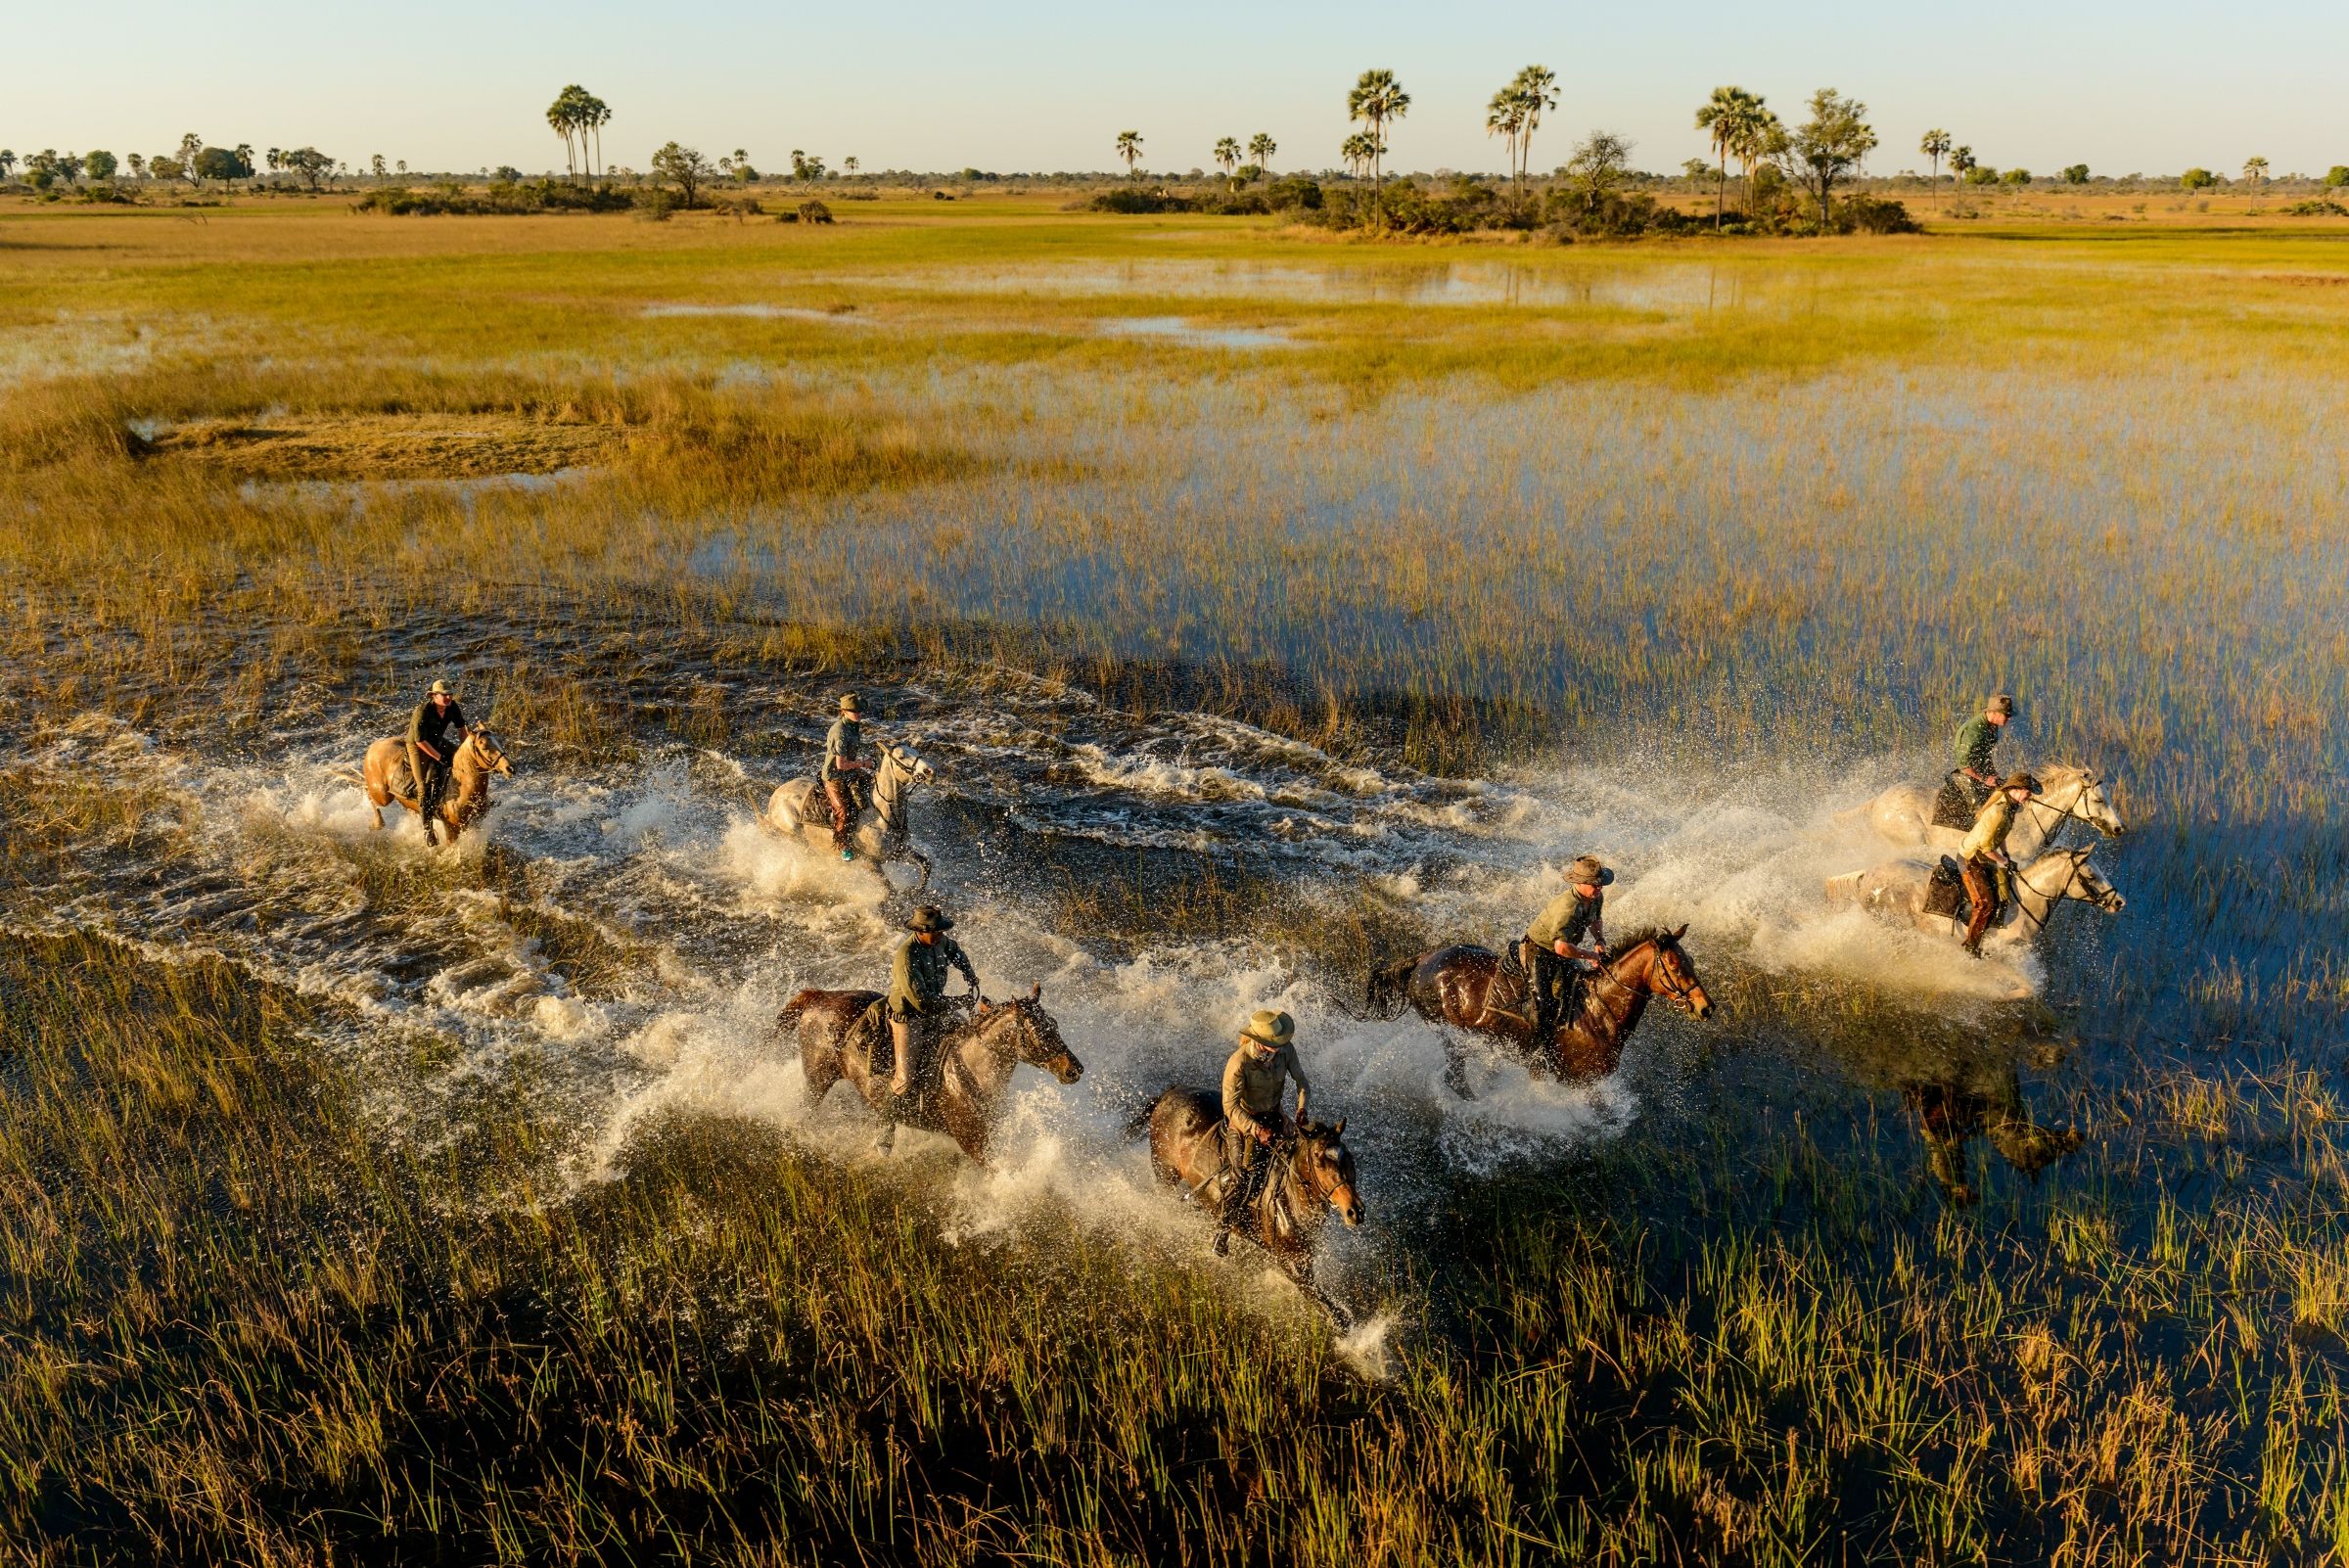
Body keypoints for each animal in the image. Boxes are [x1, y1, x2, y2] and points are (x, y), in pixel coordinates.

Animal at [356, 729, 513, 844]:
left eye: (498, 742)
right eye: (484, 747)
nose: (510, 768)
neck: (462, 788)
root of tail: (375, 746)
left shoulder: (475, 824)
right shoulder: (451, 828)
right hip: (382, 795)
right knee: (368, 793)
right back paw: (377, 824)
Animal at [761, 739, 934, 890]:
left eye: (917, 752)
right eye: (901, 756)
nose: (930, 771)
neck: (881, 814)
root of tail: (775, 798)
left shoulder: (897, 852)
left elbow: (926, 864)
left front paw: (914, 890)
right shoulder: (870, 862)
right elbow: (889, 890)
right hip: (797, 837)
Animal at [776, 983, 1082, 1164]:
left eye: (1054, 1024)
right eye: (1040, 1030)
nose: (1074, 1069)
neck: (971, 1072)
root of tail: (821, 997)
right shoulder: (975, 1144)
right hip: (817, 1079)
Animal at [1141, 1092, 1363, 1329]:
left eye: (1348, 1157)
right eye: (1318, 1159)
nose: (1355, 1211)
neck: (1290, 1195)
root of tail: (1169, 1094)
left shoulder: (1303, 1258)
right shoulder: (1290, 1264)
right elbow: (1330, 1311)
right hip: (1165, 1175)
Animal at [1365, 926, 1715, 1097]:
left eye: (1690, 961)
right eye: (1674, 965)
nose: (1706, 1008)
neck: (1599, 1012)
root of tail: (1422, 960)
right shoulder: (1577, 1080)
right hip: (1450, 1034)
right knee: (1456, 1078)